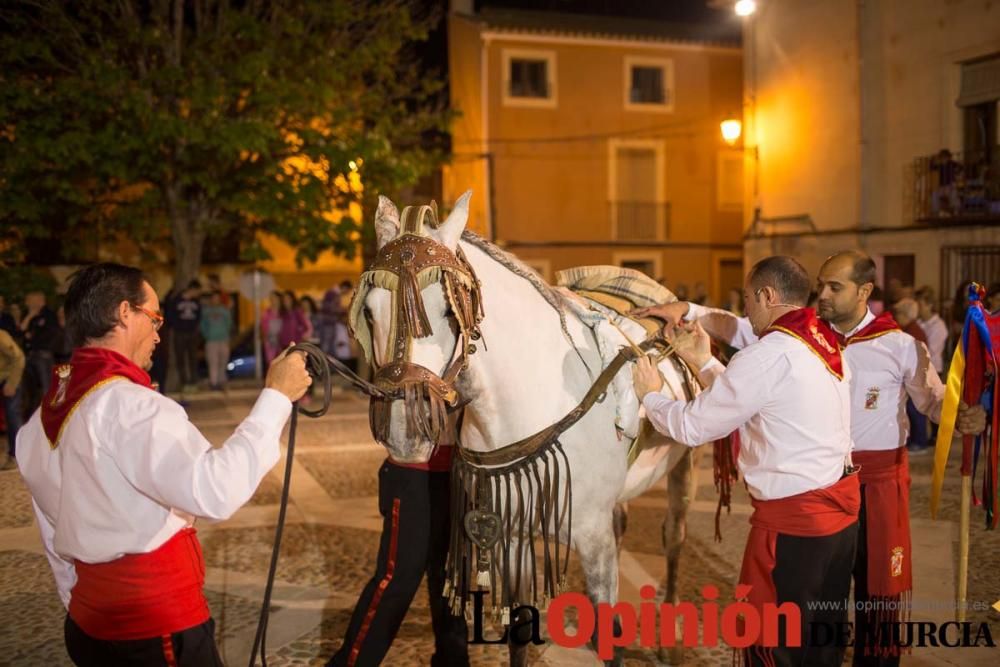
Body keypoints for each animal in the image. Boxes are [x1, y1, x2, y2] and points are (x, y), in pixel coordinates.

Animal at [356, 190, 700, 664]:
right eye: (371, 311)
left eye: (448, 308)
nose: (405, 430)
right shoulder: (511, 537)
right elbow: (519, 628)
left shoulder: (591, 540)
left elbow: (610, 637)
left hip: (683, 472)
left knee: (673, 539)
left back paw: (669, 637)